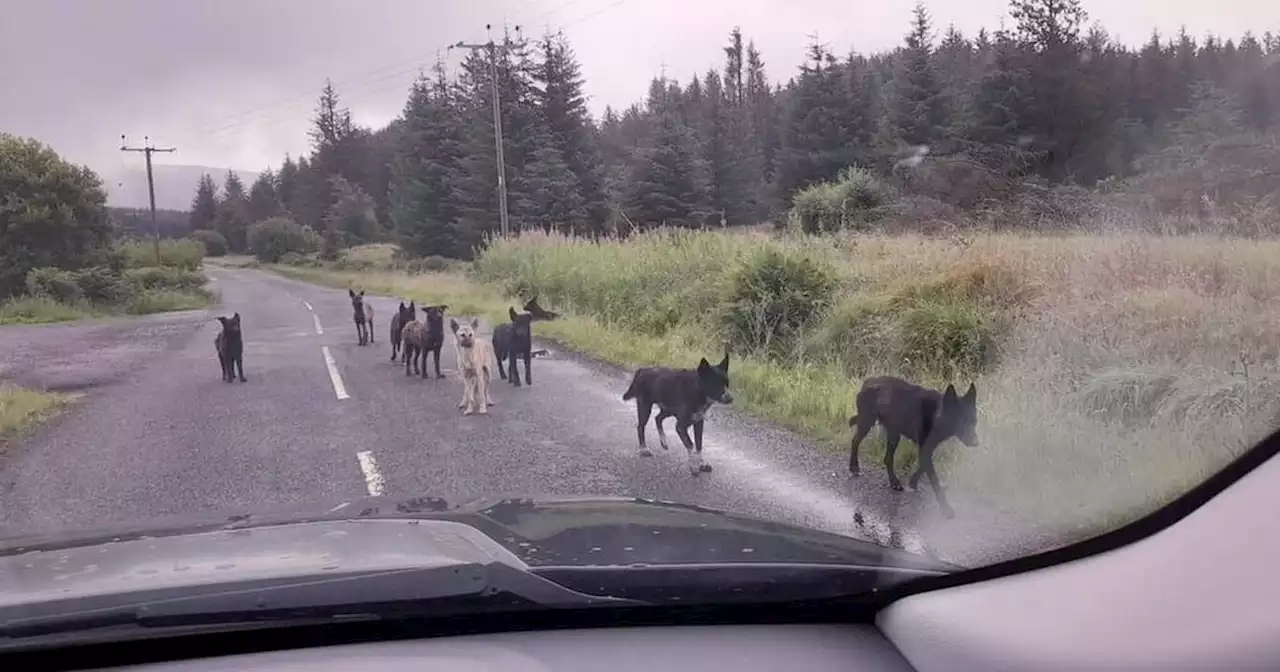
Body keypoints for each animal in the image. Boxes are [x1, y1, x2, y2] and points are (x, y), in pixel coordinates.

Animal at [849, 376, 977, 519]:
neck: (938, 415)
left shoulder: (928, 448)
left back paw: (894, 482)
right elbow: (935, 481)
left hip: (894, 434)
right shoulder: (925, 449)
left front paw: (913, 482)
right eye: (960, 421)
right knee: (855, 441)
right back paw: (854, 467)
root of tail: (868, 381)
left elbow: (922, 467)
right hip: (867, 423)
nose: (976, 443)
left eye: (974, 421)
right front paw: (945, 508)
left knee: (887, 458)